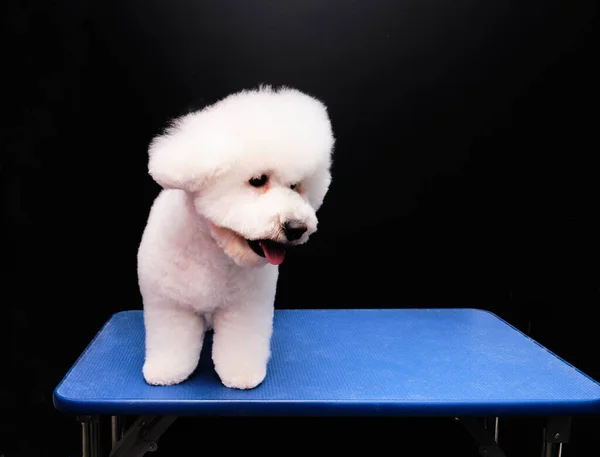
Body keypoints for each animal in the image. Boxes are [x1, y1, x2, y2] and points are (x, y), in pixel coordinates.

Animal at [137, 85, 336, 388]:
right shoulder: (170, 305)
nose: (296, 227)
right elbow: (171, 339)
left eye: (295, 186)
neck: (212, 251)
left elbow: (240, 343)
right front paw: (166, 371)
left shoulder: (245, 307)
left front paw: (242, 374)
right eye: (257, 180)